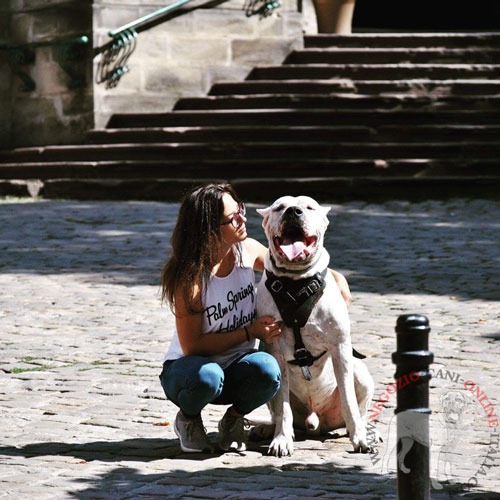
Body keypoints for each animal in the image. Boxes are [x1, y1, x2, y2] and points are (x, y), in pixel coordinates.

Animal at [254, 195, 376, 458]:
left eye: (309, 207)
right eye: (279, 207)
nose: (293, 211)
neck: (296, 284)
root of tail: (315, 420)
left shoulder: (340, 347)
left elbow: (349, 401)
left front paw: (360, 438)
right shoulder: (275, 349)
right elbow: (283, 407)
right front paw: (281, 439)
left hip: (360, 372)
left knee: (360, 408)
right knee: (278, 411)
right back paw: (267, 429)